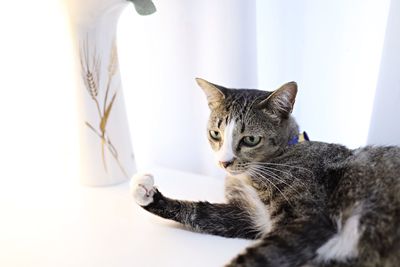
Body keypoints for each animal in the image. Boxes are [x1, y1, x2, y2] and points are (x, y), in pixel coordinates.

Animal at [131, 78, 400, 266]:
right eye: (215, 134)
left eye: (250, 139)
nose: (224, 162)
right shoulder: (249, 216)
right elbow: (200, 213)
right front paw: (148, 193)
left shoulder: (307, 219)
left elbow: (261, 255)